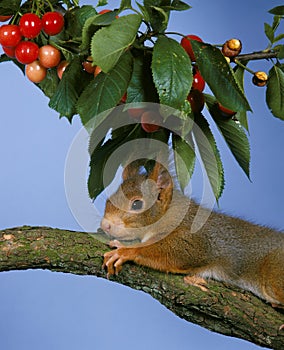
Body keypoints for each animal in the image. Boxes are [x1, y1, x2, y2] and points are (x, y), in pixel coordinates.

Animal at [101, 160, 284, 304]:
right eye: (108, 199)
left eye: (137, 204)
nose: (105, 225)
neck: (171, 216)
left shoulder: (198, 238)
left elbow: (179, 252)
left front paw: (125, 251)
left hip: (274, 275)